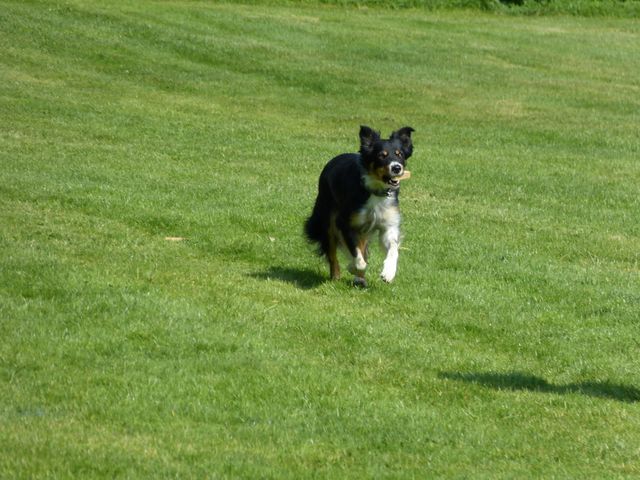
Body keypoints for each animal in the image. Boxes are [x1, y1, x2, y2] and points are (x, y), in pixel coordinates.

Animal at [305, 125, 415, 286]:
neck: (375, 190)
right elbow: (357, 255)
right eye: (382, 155)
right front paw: (352, 267)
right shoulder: (345, 223)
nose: (396, 168)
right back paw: (337, 276)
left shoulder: (388, 225)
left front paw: (388, 273)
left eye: (399, 154)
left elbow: (393, 249)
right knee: (332, 253)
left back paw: (360, 279)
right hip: (328, 219)